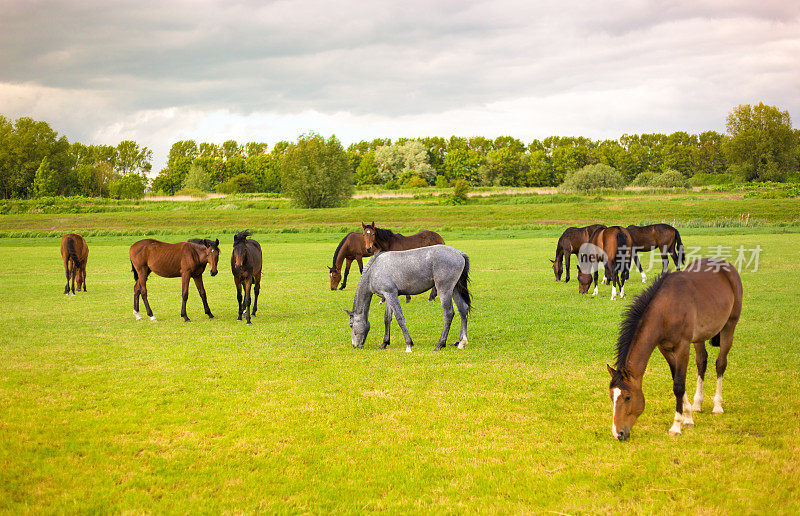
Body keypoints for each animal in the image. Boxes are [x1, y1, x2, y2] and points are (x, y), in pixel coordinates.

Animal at [608, 258, 744, 440]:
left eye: (628, 397)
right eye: (611, 397)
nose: (618, 433)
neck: (666, 309)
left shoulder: (682, 347)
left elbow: (679, 384)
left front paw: (676, 425)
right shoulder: (664, 348)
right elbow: (677, 379)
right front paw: (688, 417)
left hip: (729, 326)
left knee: (720, 363)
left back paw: (717, 406)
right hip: (699, 338)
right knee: (702, 362)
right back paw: (697, 404)